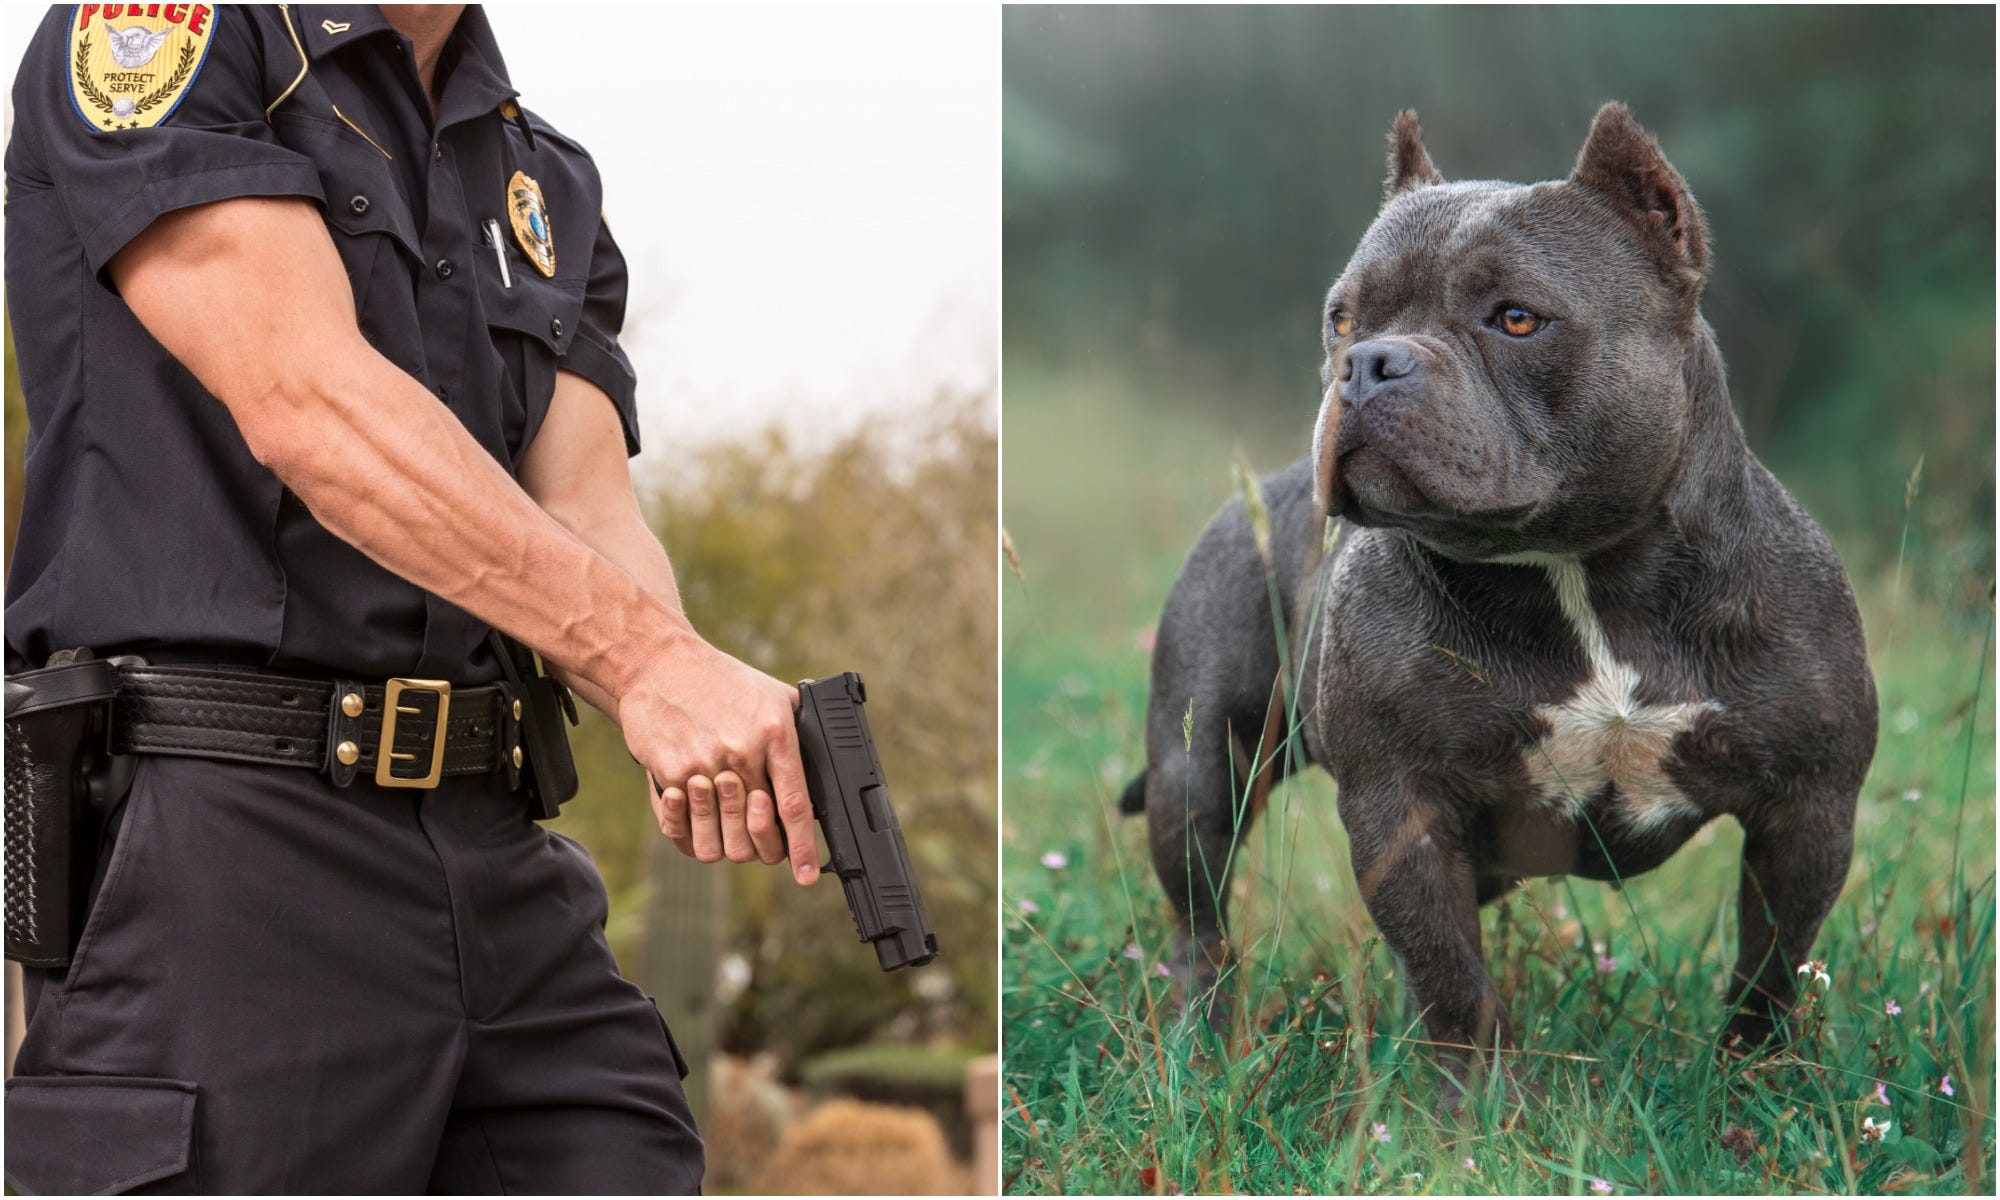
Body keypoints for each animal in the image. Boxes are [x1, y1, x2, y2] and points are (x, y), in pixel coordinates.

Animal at [1136, 108, 1880, 1072]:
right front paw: (1476, 1106)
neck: (1578, 573)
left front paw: (1751, 1083)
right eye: (1343, 318)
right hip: (1198, 769)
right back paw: (1200, 1042)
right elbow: (1452, 979)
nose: (1367, 362)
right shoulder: (1403, 809)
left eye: (1517, 319)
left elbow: (1772, 970)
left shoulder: (1808, 810)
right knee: (1202, 918)